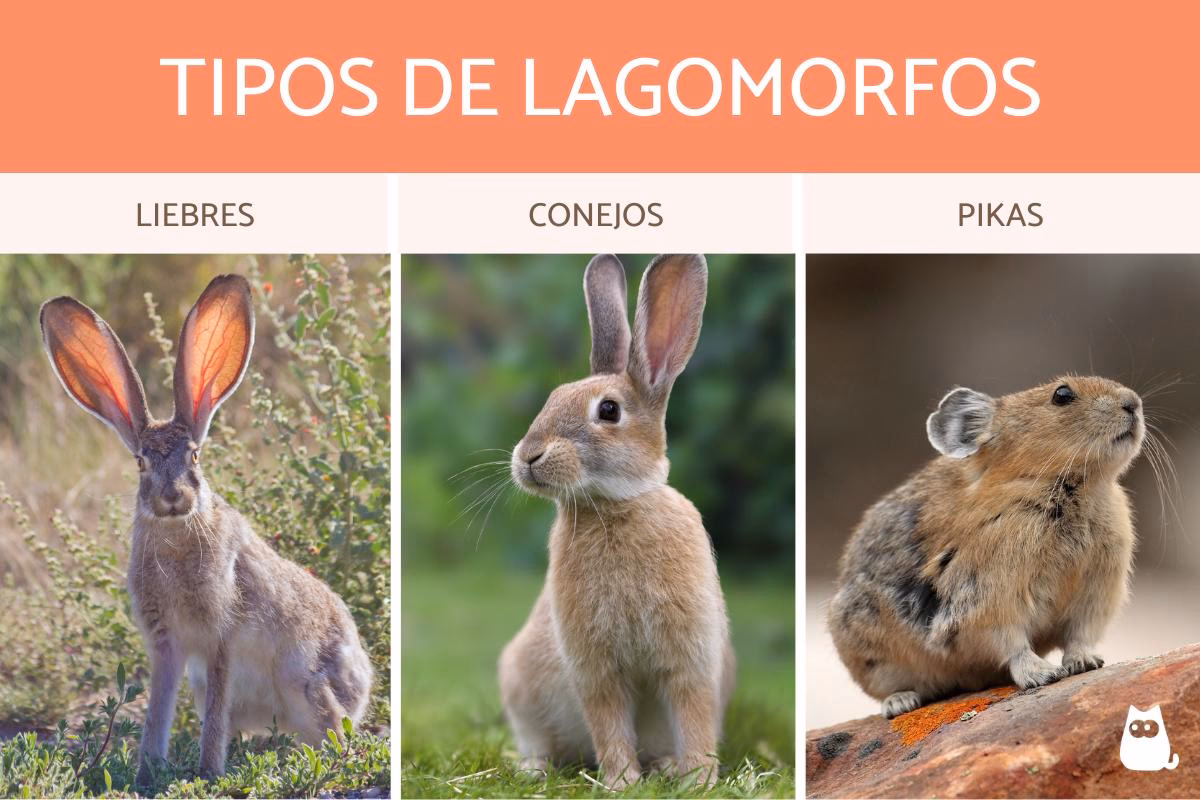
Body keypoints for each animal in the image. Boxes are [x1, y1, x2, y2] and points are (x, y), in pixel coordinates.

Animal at [39, 274, 373, 785]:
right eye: (141, 462)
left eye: (194, 456)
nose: (173, 497)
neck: (177, 537)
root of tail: (364, 683)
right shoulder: (167, 644)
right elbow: (158, 709)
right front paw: (147, 773)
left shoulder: (220, 635)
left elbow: (215, 710)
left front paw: (208, 772)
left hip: (305, 682)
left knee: (333, 732)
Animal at [498, 254, 735, 790]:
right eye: (552, 398)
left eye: (609, 410)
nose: (528, 457)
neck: (614, 505)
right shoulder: (595, 667)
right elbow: (608, 721)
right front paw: (622, 782)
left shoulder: (690, 657)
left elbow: (693, 714)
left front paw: (698, 779)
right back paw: (533, 769)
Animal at [828, 377, 1143, 719]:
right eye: (1062, 394)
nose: (1133, 402)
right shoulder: (989, 599)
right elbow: (1012, 643)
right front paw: (1042, 674)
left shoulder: (1095, 593)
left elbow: (1080, 636)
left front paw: (1084, 662)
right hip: (873, 655)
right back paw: (901, 702)